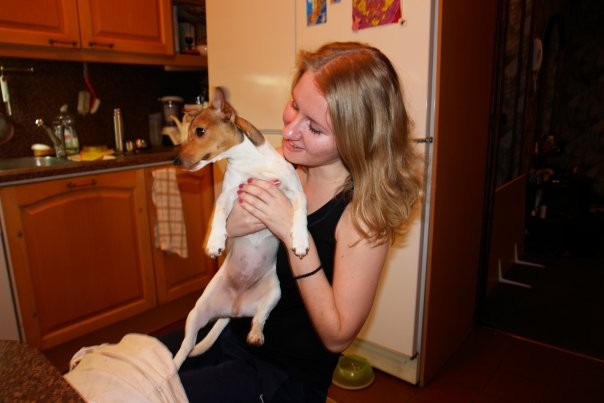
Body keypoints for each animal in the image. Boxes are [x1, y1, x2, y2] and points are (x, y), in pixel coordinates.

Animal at [172, 88, 308, 369]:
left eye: (199, 131)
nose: (174, 160)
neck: (250, 164)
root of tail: (232, 311)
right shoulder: (227, 195)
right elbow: (219, 215)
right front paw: (215, 241)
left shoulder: (296, 193)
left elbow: (299, 213)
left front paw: (300, 240)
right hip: (197, 312)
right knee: (186, 346)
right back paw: (171, 368)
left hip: (274, 293)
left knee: (259, 319)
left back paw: (255, 334)